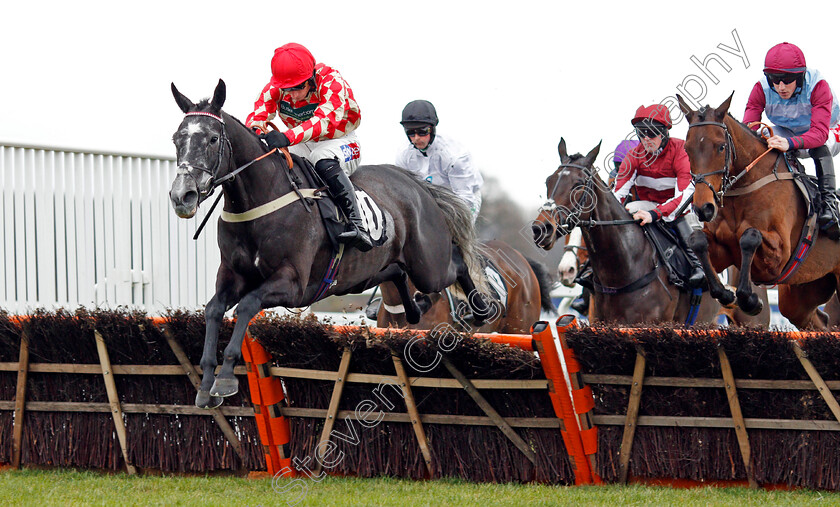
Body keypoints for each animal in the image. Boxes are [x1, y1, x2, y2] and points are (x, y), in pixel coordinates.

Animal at [172, 80, 492, 408]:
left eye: (212, 139)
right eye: (176, 139)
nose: (182, 196)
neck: (260, 202)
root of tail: (416, 183)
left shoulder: (293, 284)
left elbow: (246, 305)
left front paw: (224, 377)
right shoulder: (233, 275)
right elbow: (213, 309)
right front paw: (206, 382)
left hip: (428, 266)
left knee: (456, 262)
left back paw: (480, 309)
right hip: (363, 274)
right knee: (398, 272)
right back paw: (416, 309)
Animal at [676, 92, 840, 330]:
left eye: (721, 147)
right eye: (687, 149)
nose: (703, 208)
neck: (747, 185)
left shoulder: (780, 255)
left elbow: (749, 236)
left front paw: (749, 299)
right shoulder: (723, 250)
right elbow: (697, 240)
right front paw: (726, 294)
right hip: (803, 291)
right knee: (820, 321)